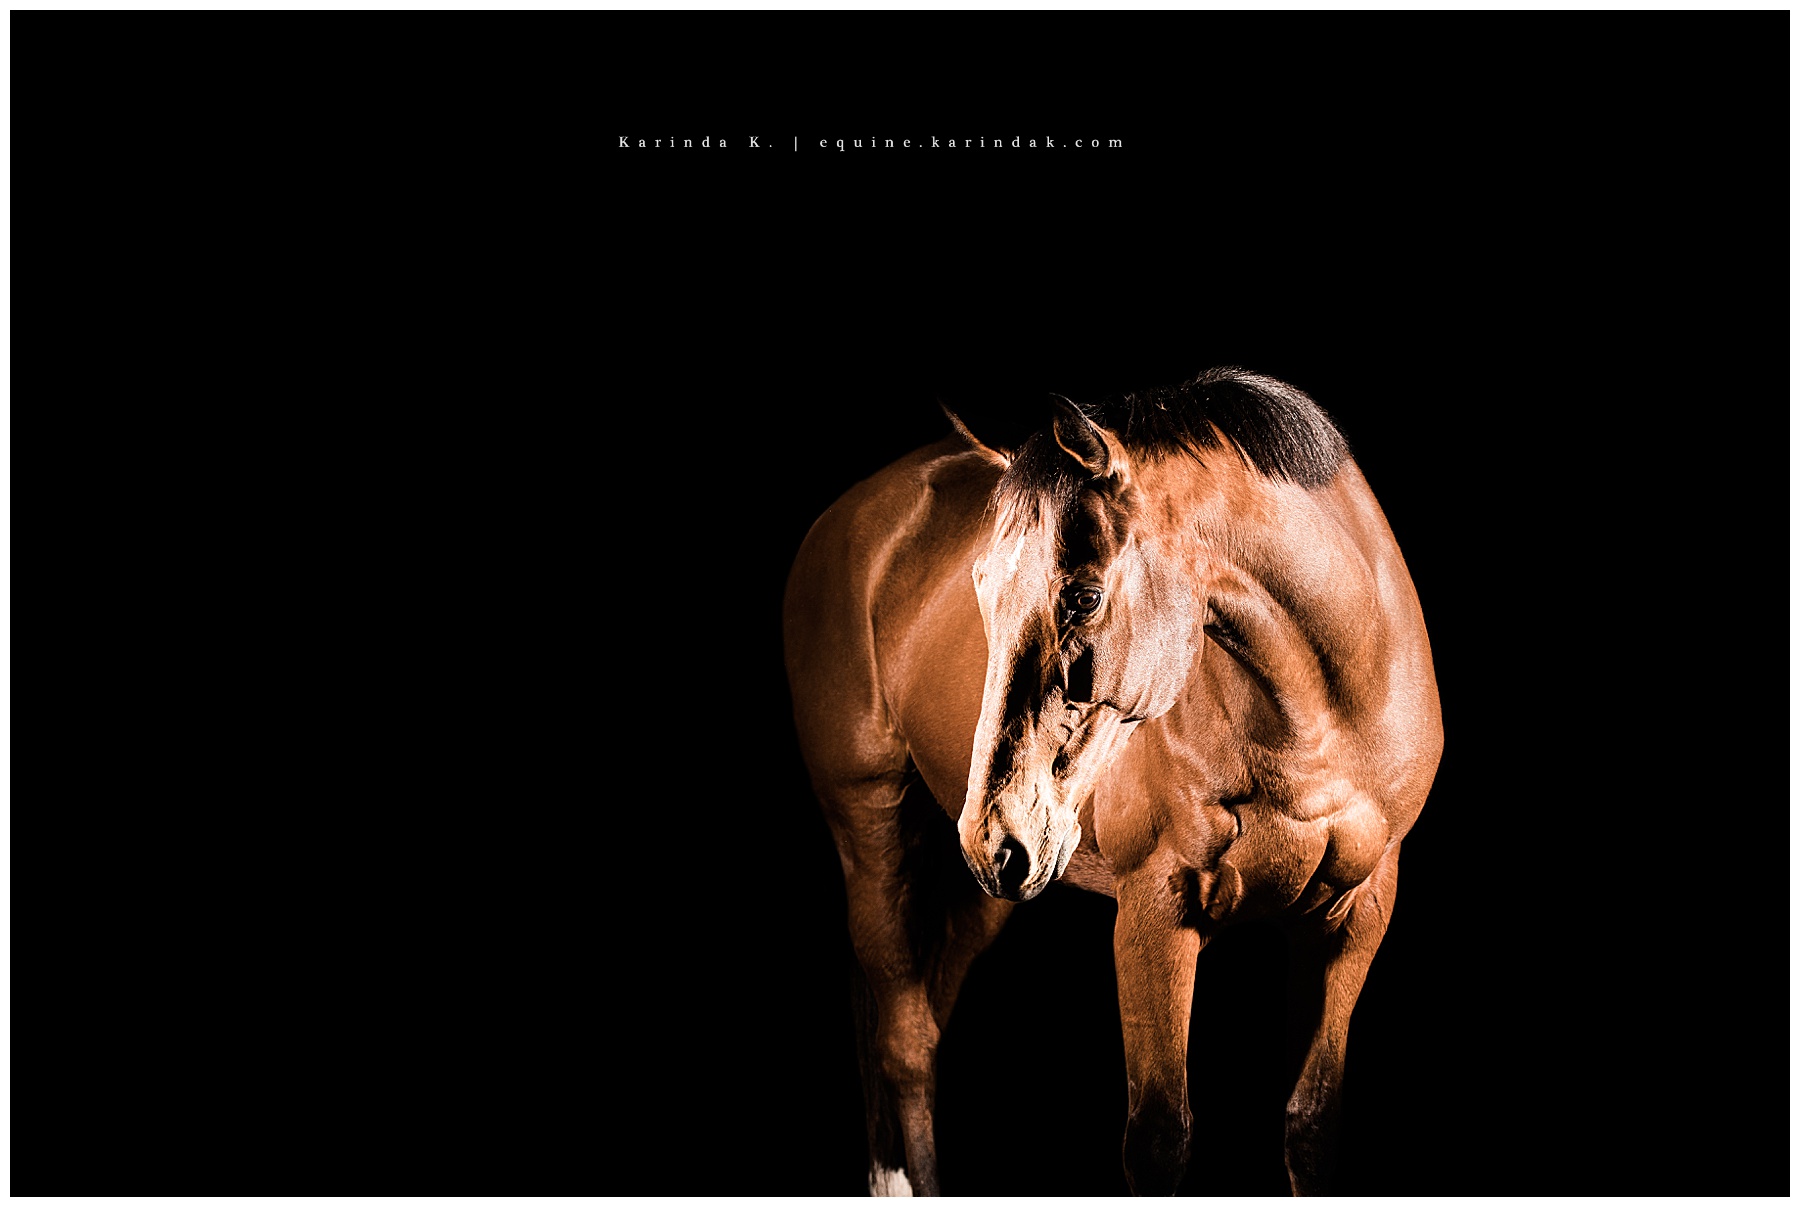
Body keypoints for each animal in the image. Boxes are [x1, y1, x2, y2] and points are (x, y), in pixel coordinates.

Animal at [783, 368, 1443, 1196]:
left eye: (1084, 595)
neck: (1319, 717)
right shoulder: (1155, 911)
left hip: (982, 889)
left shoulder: (1357, 915)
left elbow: (1311, 1123)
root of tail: (849, 514)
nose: (995, 832)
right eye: (981, 587)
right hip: (874, 826)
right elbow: (1158, 1139)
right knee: (905, 1042)